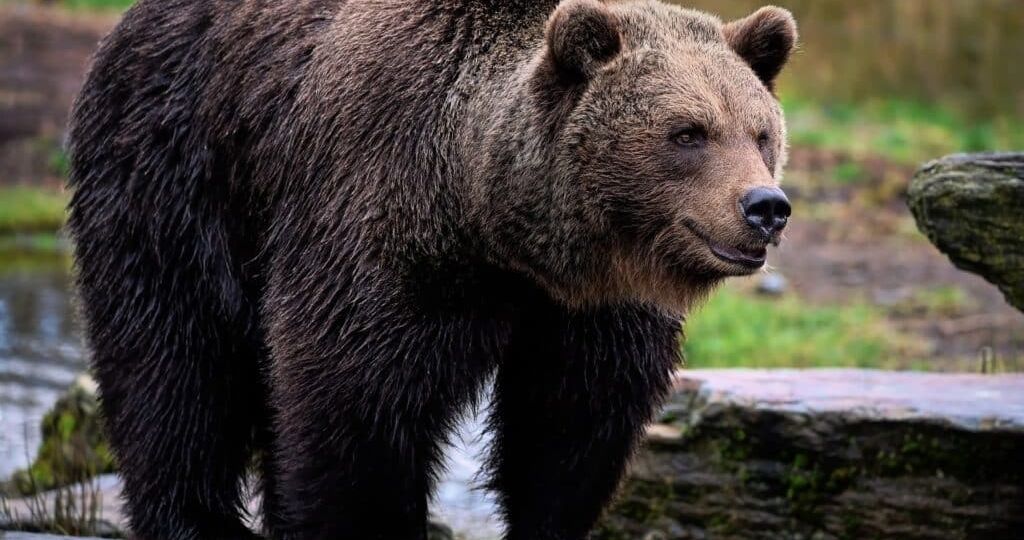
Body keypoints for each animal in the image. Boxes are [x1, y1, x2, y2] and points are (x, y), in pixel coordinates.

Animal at [66, 0, 796, 538]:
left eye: (760, 132)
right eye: (688, 132)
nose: (765, 207)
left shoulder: (590, 311)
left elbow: (568, 427)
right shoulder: (378, 237)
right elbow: (350, 412)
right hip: (175, 174)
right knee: (173, 365)